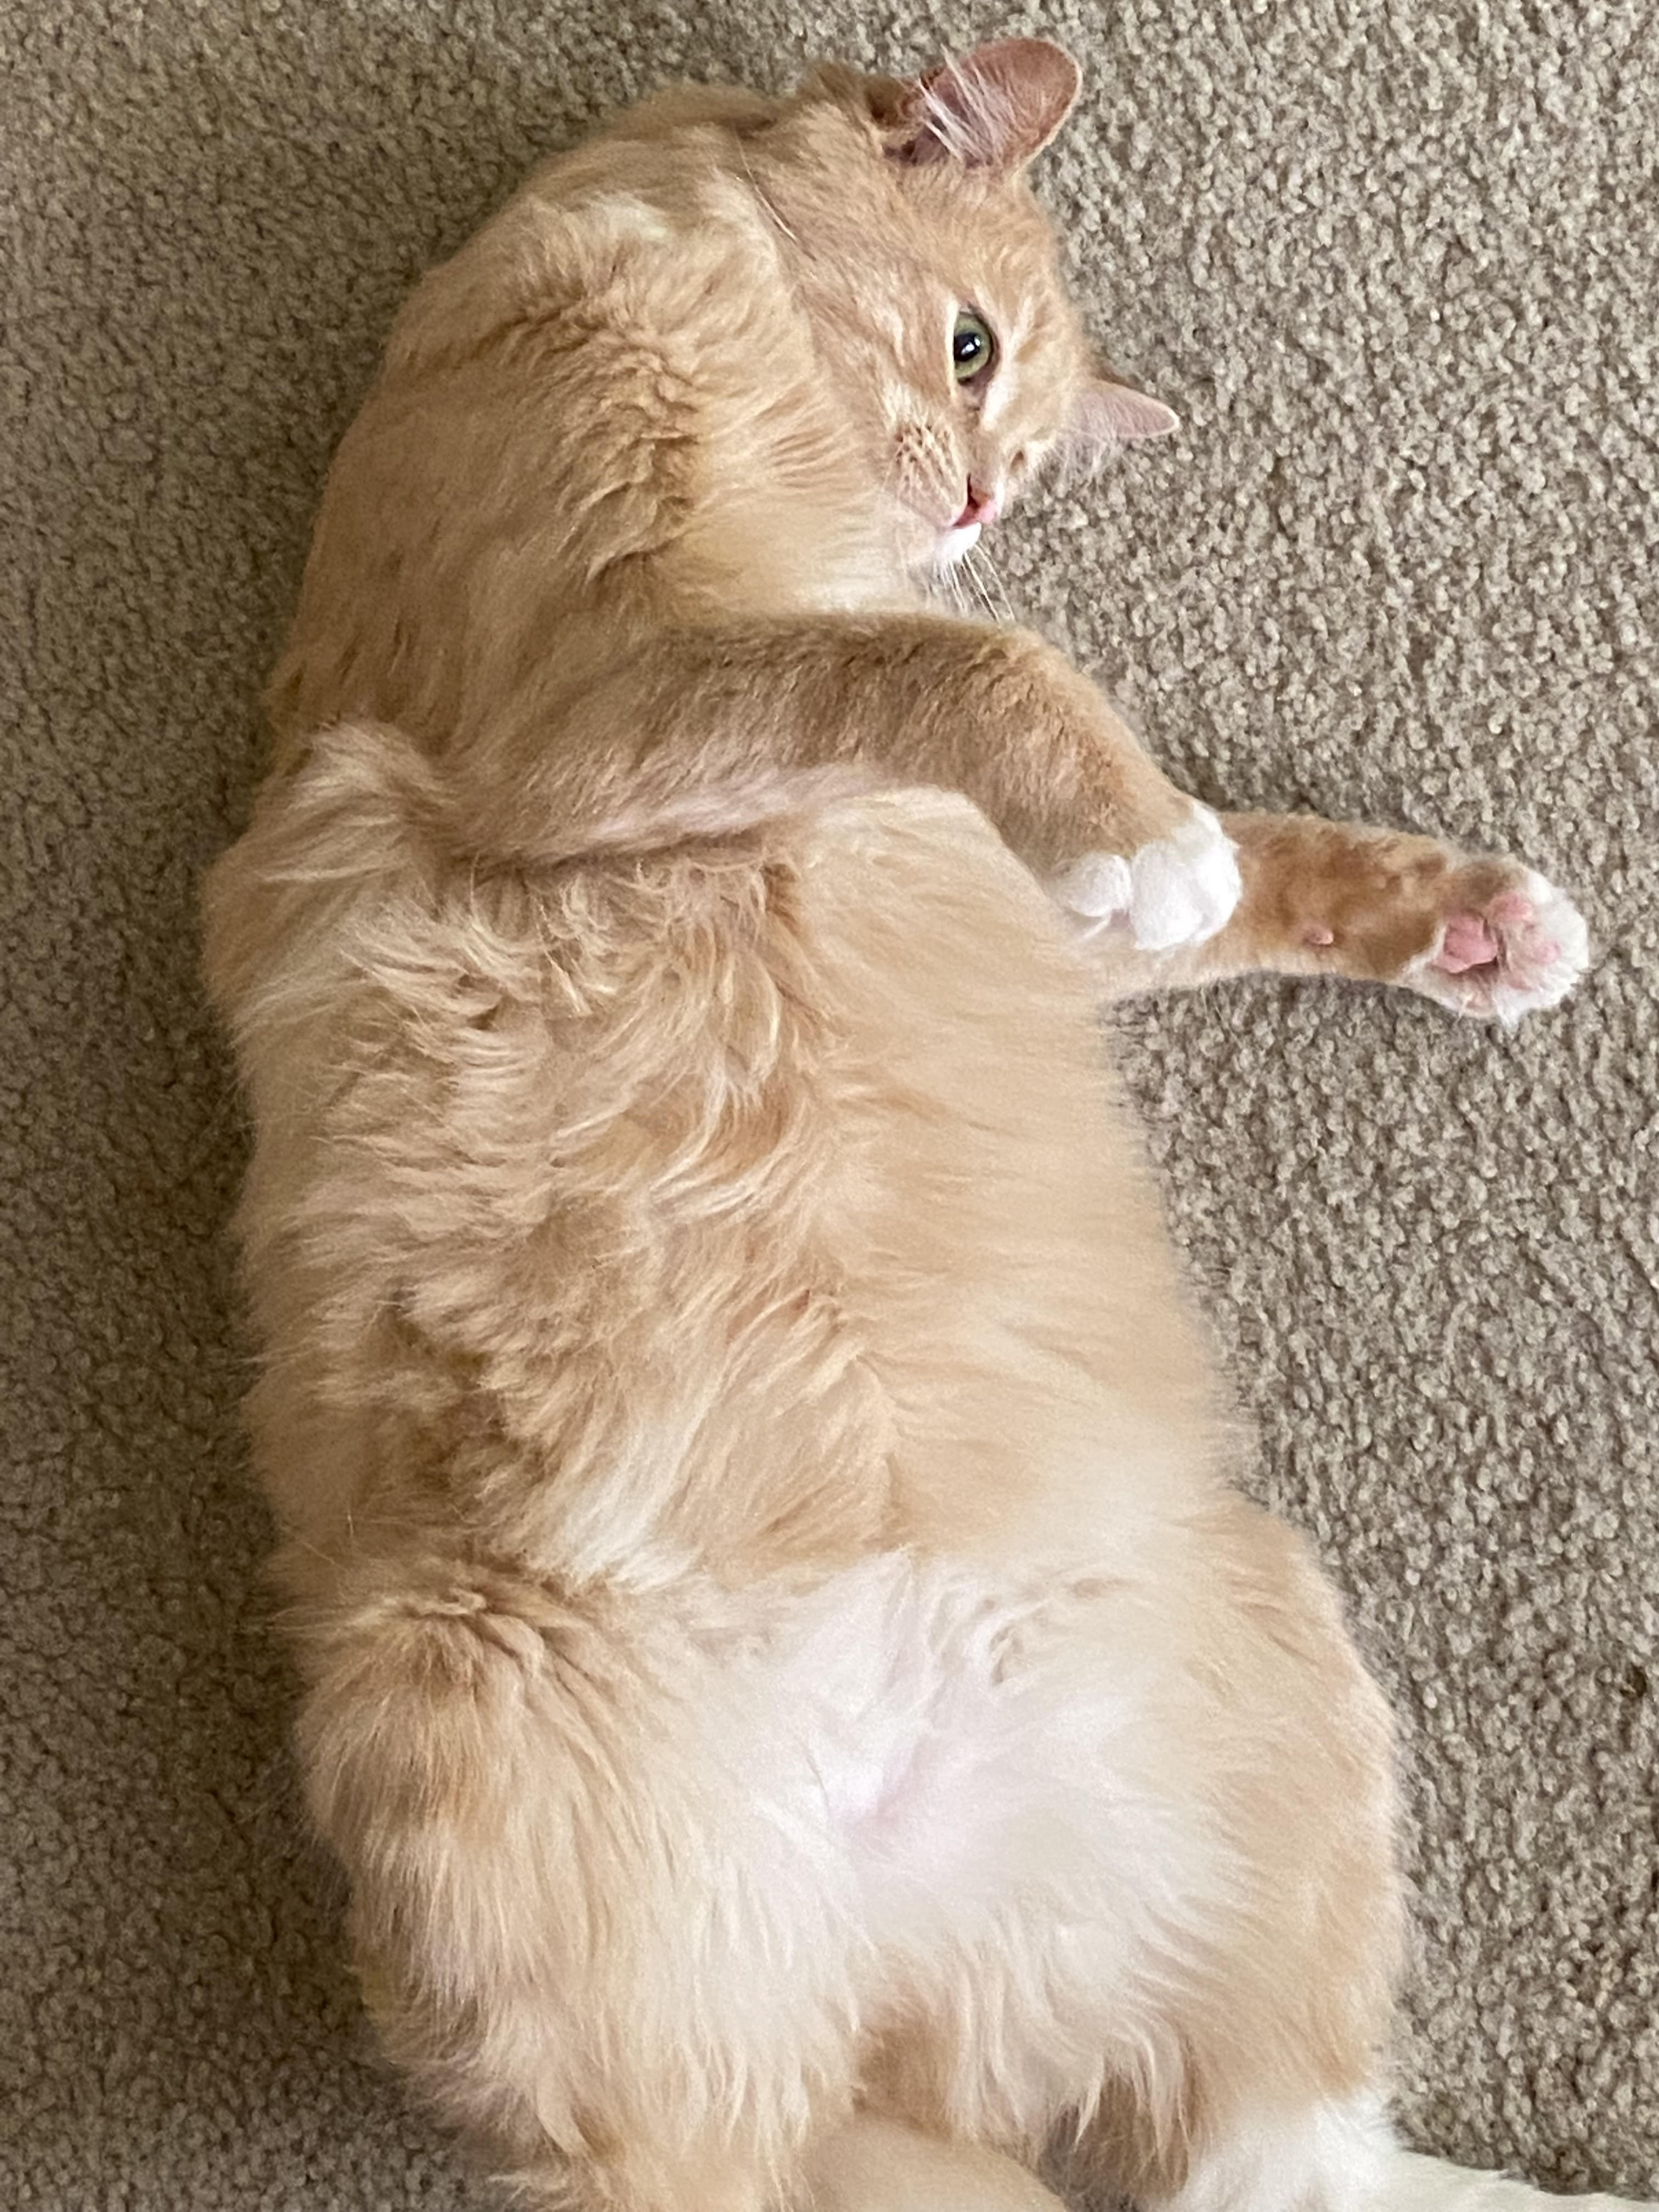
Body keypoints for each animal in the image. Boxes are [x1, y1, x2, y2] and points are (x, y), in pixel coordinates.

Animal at [201, 35, 1628, 2212]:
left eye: (1022, 462)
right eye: (966, 352)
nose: (967, 502)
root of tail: (900, 1961)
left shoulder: (925, 834)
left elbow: (1244, 865)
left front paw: (1452, 922)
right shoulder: (591, 709)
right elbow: (956, 666)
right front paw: (1144, 816)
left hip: (1270, 1644)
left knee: (1271, 2160)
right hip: (486, 1736)